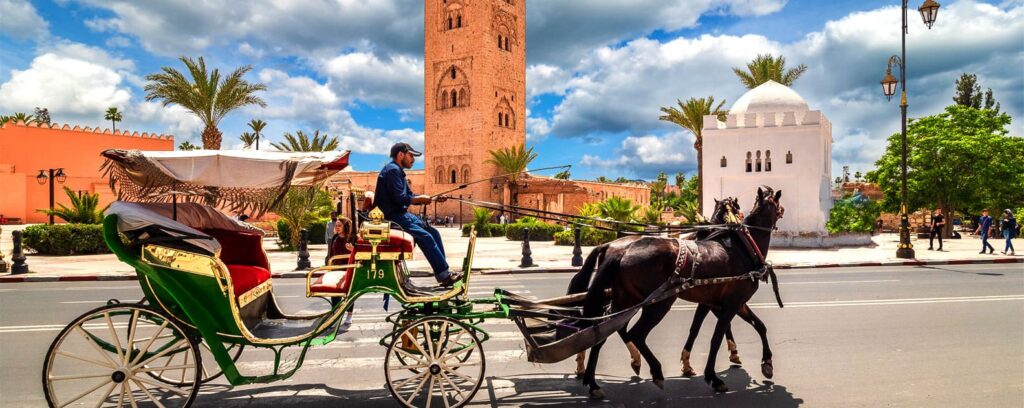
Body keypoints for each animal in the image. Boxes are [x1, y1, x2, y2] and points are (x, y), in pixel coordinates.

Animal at [569, 186, 782, 397]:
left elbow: (753, 326)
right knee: (635, 333)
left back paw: (594, 381)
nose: (783, 210)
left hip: (626, 299)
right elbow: (717, 337)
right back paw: (653, 371)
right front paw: (715, 375)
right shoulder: (732, 302)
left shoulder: (718, 302)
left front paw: (765, 363)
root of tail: (618, 250)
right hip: (657, 303)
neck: (744, 247)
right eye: (736, 208)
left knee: (605, 330)